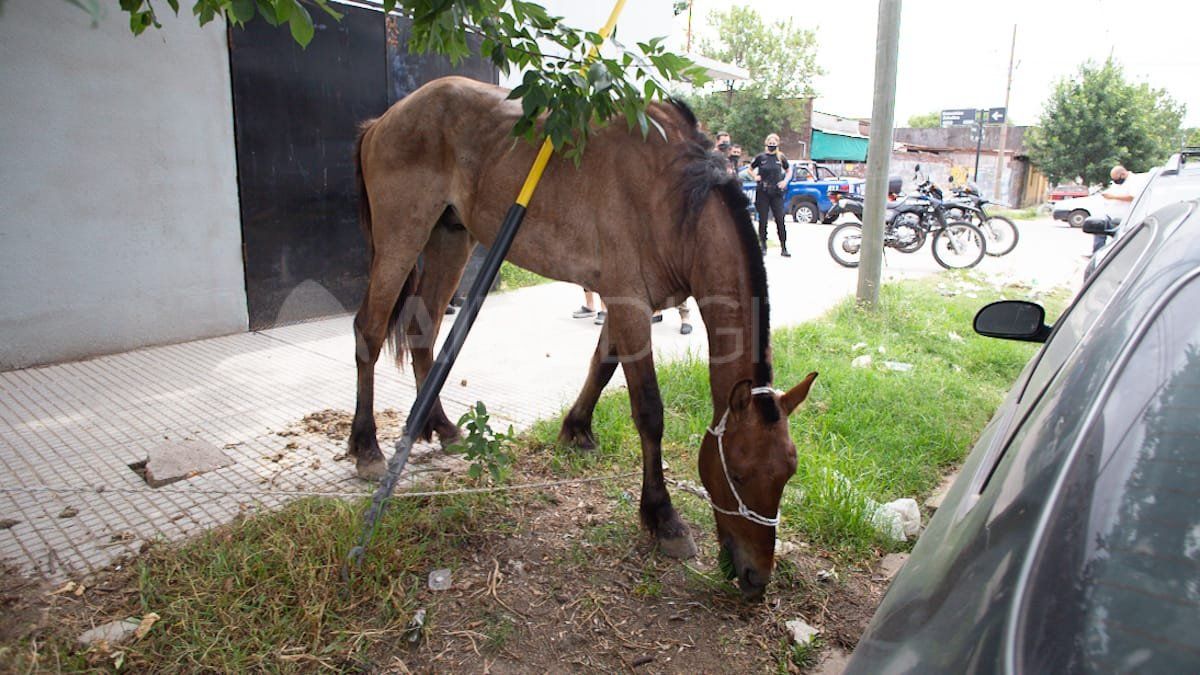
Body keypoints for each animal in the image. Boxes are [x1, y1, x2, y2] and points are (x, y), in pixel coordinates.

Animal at [349, 76, 818, 600]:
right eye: (736, 472)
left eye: (789, 472)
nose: (756, 578)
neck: (674, 198)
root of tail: (385, 119)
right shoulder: (630, 302)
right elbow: (649, 411)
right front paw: (663, 518)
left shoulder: (629, 303)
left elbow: (602, 366)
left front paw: (575, 428)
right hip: (401, 236)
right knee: (369, 332)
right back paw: (366, 446)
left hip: (451, 235)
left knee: (422, 328)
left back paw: (441, 426)